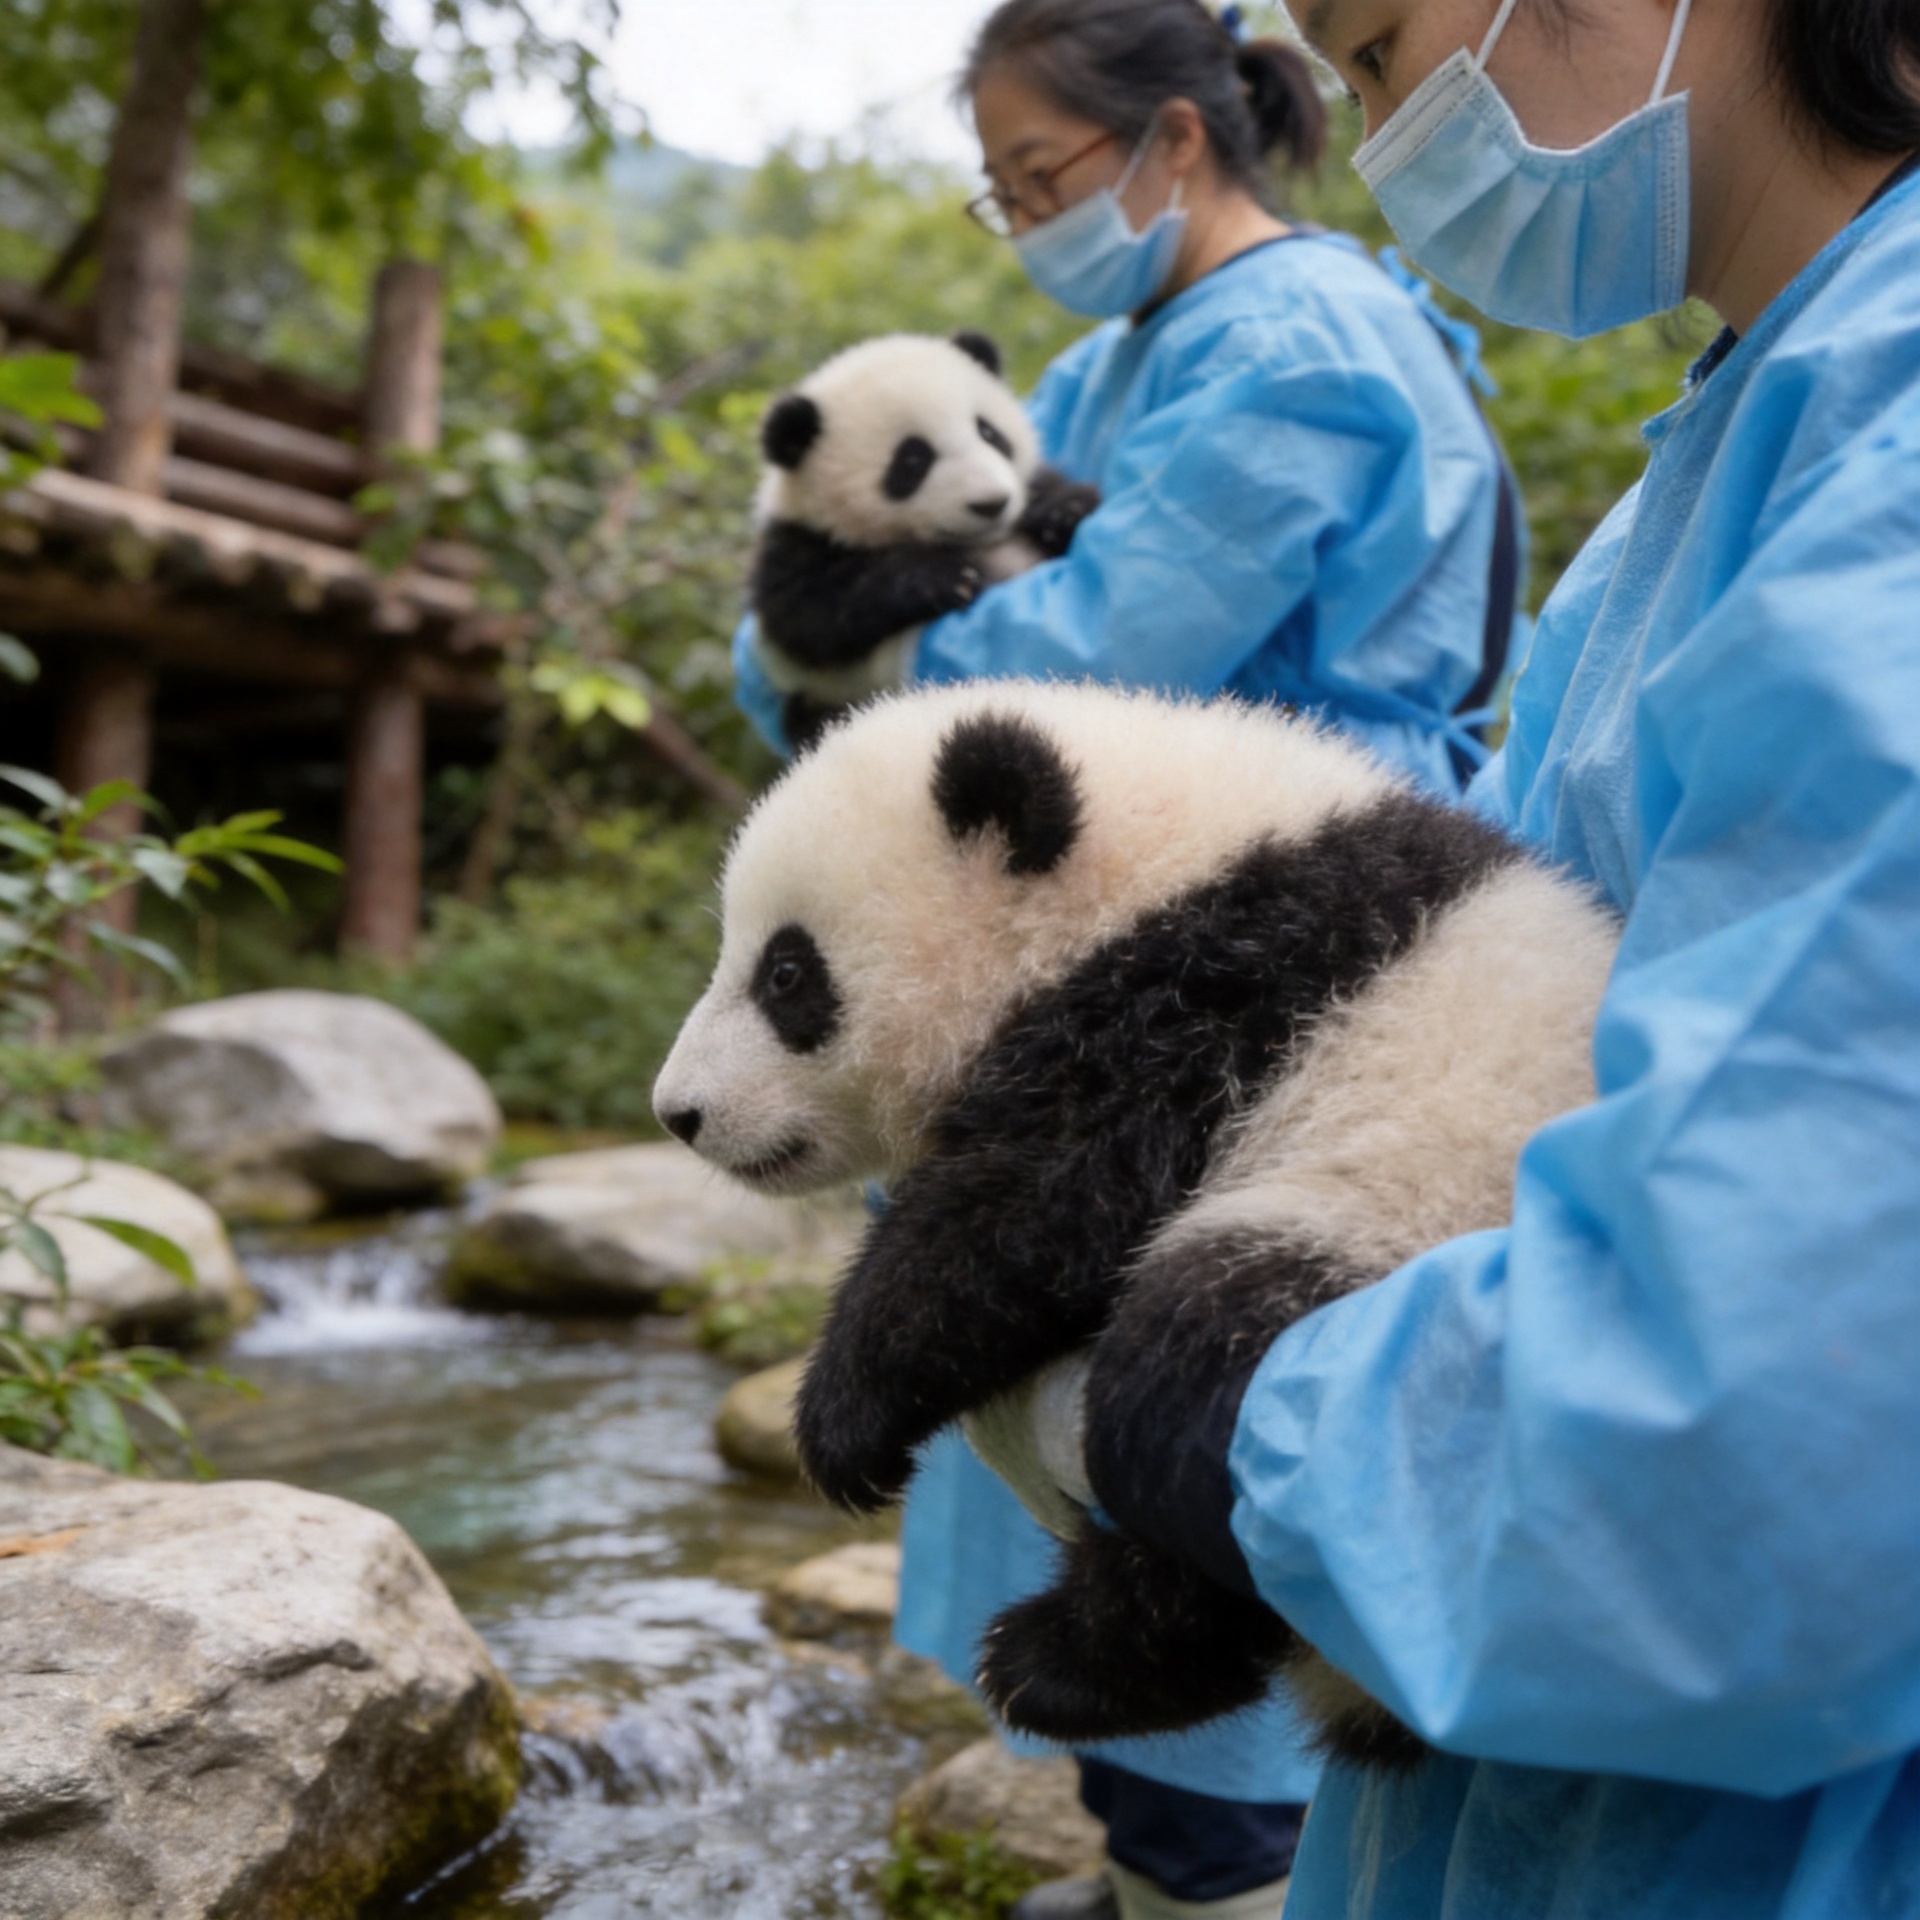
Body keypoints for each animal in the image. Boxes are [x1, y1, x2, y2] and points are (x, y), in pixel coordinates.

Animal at [651, 682, 1618, 1762]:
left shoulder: (1206, 1003)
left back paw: (1067, 1664)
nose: (679, 1113)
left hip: (1404, 1268)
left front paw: (843, 1422)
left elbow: (1033, 1209)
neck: (1151, 870)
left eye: (786, 974)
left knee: (1188, 1379)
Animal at [749, 332, 1100, 747]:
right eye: (913, 460)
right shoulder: (798, 543)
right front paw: (945, 578)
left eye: (989, 433)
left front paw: (1062, 510)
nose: (992, 504)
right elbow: (812, 611)